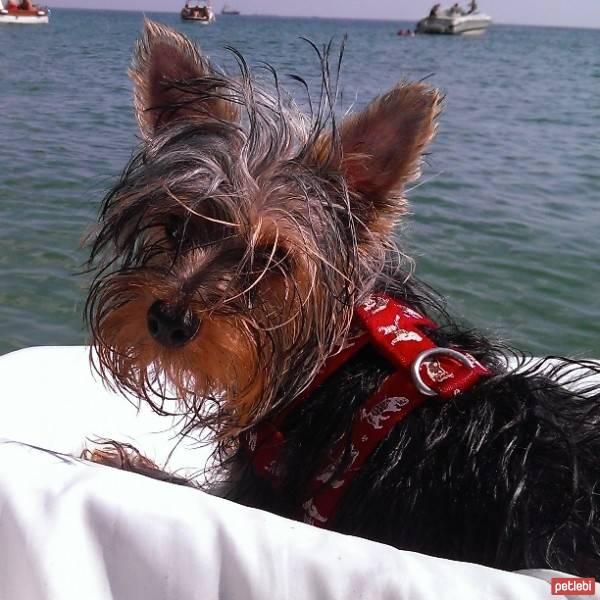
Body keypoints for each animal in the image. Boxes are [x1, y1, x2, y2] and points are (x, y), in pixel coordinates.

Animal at [85, 21, 600, 580]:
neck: (328, 357)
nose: (169, 320)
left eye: (271, 258)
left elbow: (190, 485)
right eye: (176, 226)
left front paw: (124, 460)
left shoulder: (269, 494)